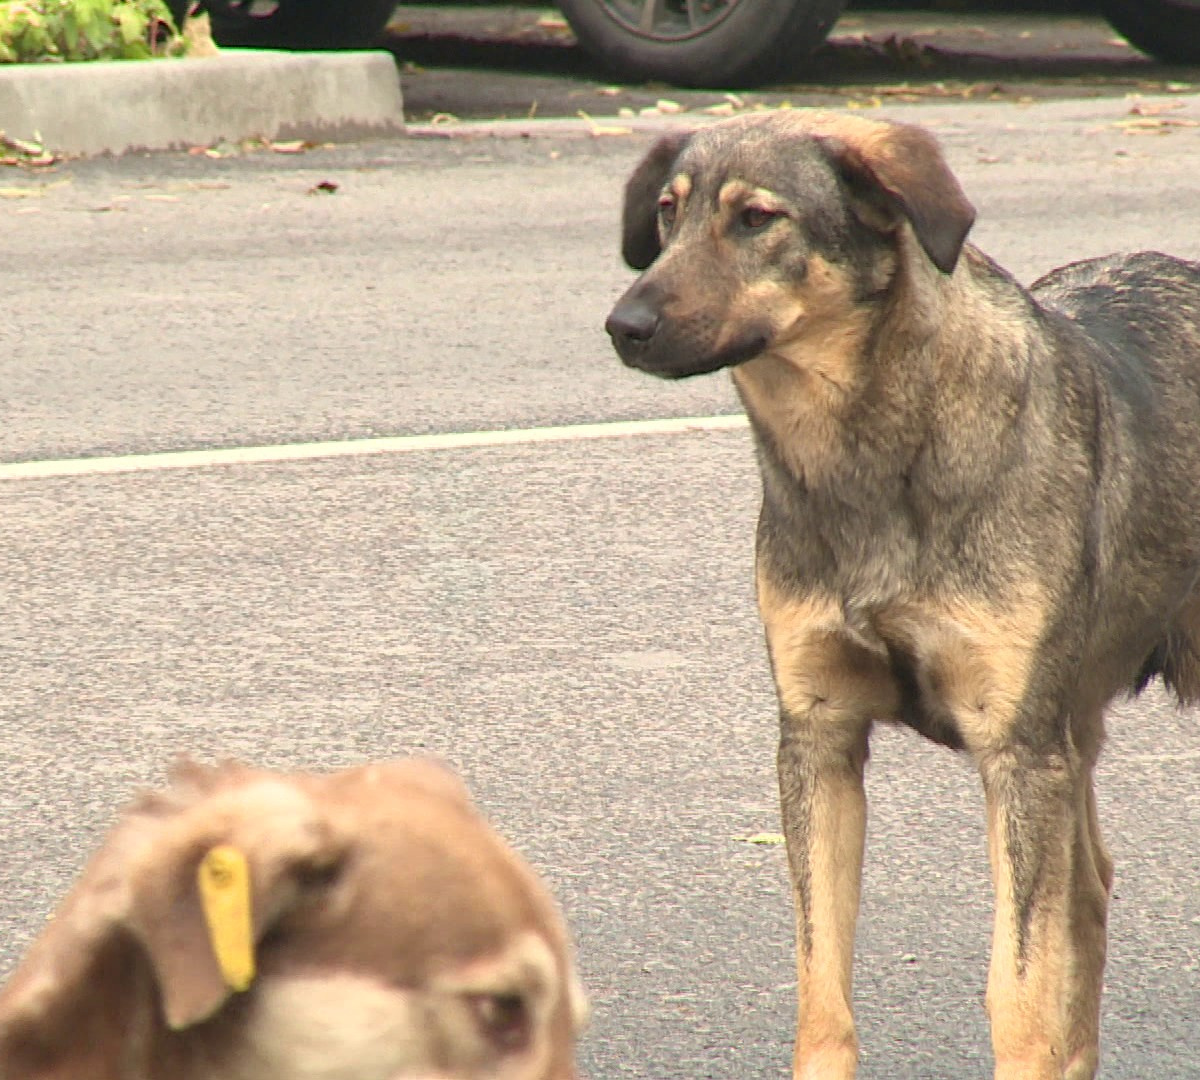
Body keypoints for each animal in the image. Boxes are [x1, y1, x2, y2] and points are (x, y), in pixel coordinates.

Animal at [604, 111, 1200, 1080]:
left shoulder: (1015, 753)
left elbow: (1019, 991)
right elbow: (822, 989)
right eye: (667, 211)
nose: (625, 324)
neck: (867, 462)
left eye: (757, 218)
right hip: (1071, 735)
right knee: (1092, 890)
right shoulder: (820, 739)